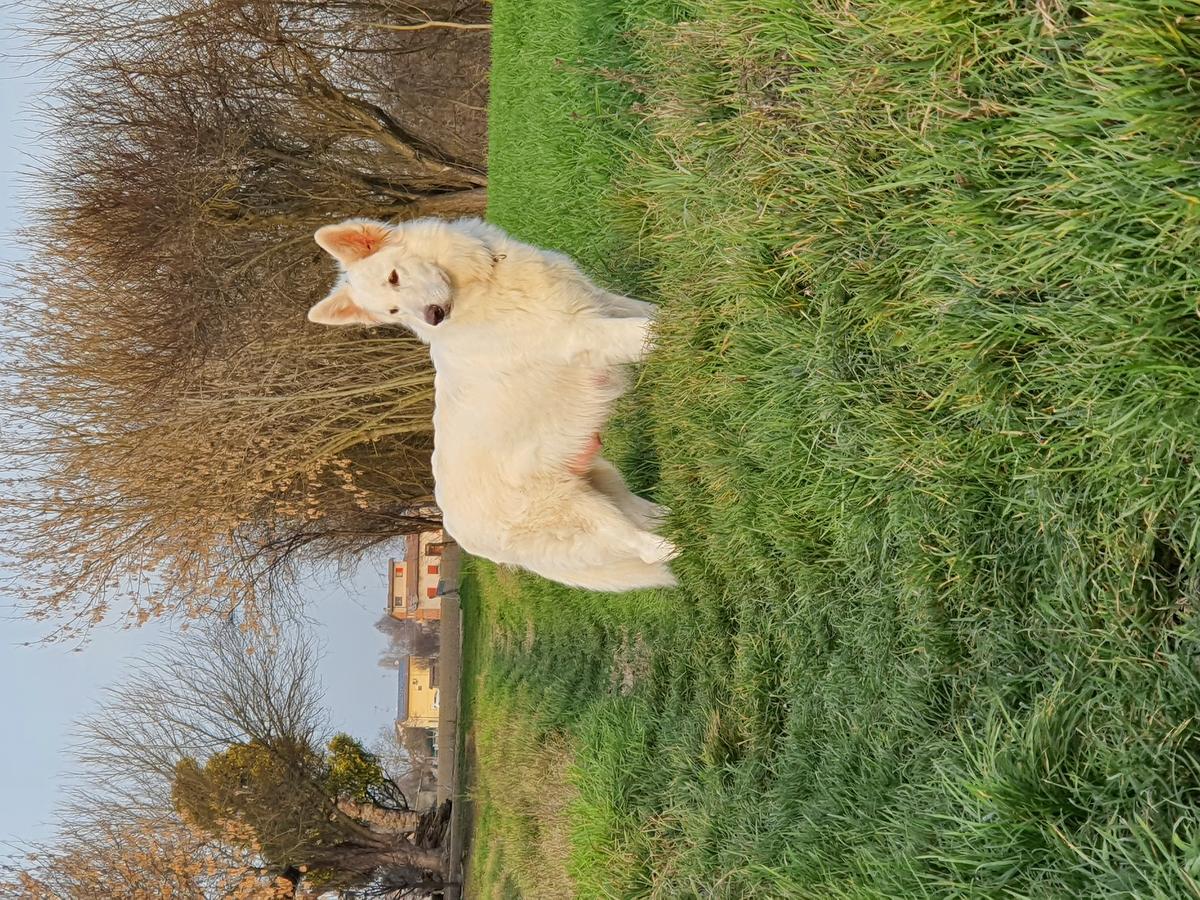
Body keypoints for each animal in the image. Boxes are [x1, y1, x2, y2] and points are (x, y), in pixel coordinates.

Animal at [304, 217, 676, 592]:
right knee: (642, 546)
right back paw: (676, 545)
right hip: (576, 509)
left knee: (640, 515)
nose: (433, 316)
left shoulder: (604, 302)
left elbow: (653, 312)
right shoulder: (585, 334)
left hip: (601, 481)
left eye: (394, 278)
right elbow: (649, 330)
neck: (480, 288)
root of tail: (461, 536)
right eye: (394, 312)